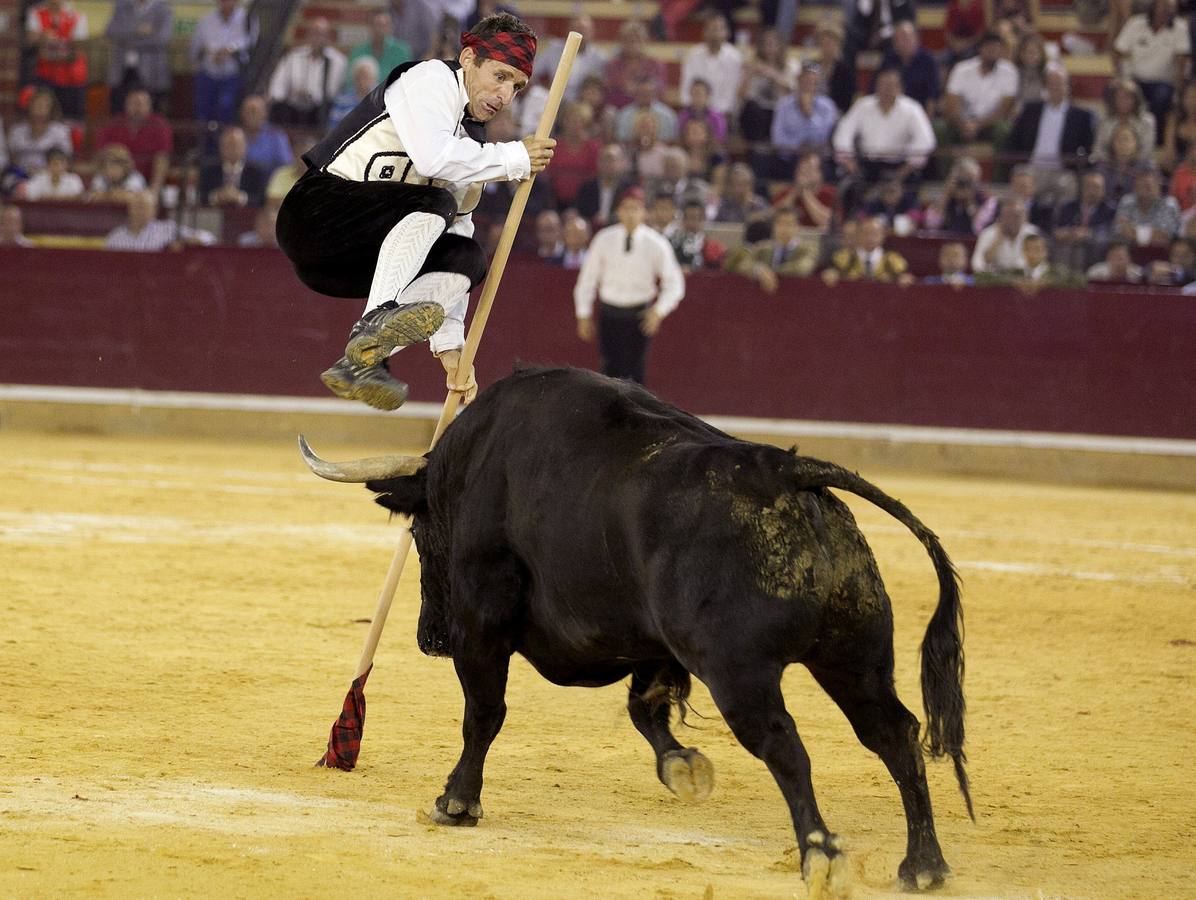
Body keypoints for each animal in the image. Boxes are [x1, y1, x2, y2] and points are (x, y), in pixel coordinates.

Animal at [299, 365, 971, 894]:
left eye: (418, 533)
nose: (429, 637)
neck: (471, 466)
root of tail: (785, 471)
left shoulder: (481, 624)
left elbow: (484, 713)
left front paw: (456, 803)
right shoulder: (652, 643)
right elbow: (644, 711)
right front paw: (684, 768)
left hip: (740, 673)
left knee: (786, 746)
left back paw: (821, 857)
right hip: (854, 658)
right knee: (895, 734)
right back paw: (923, 865)